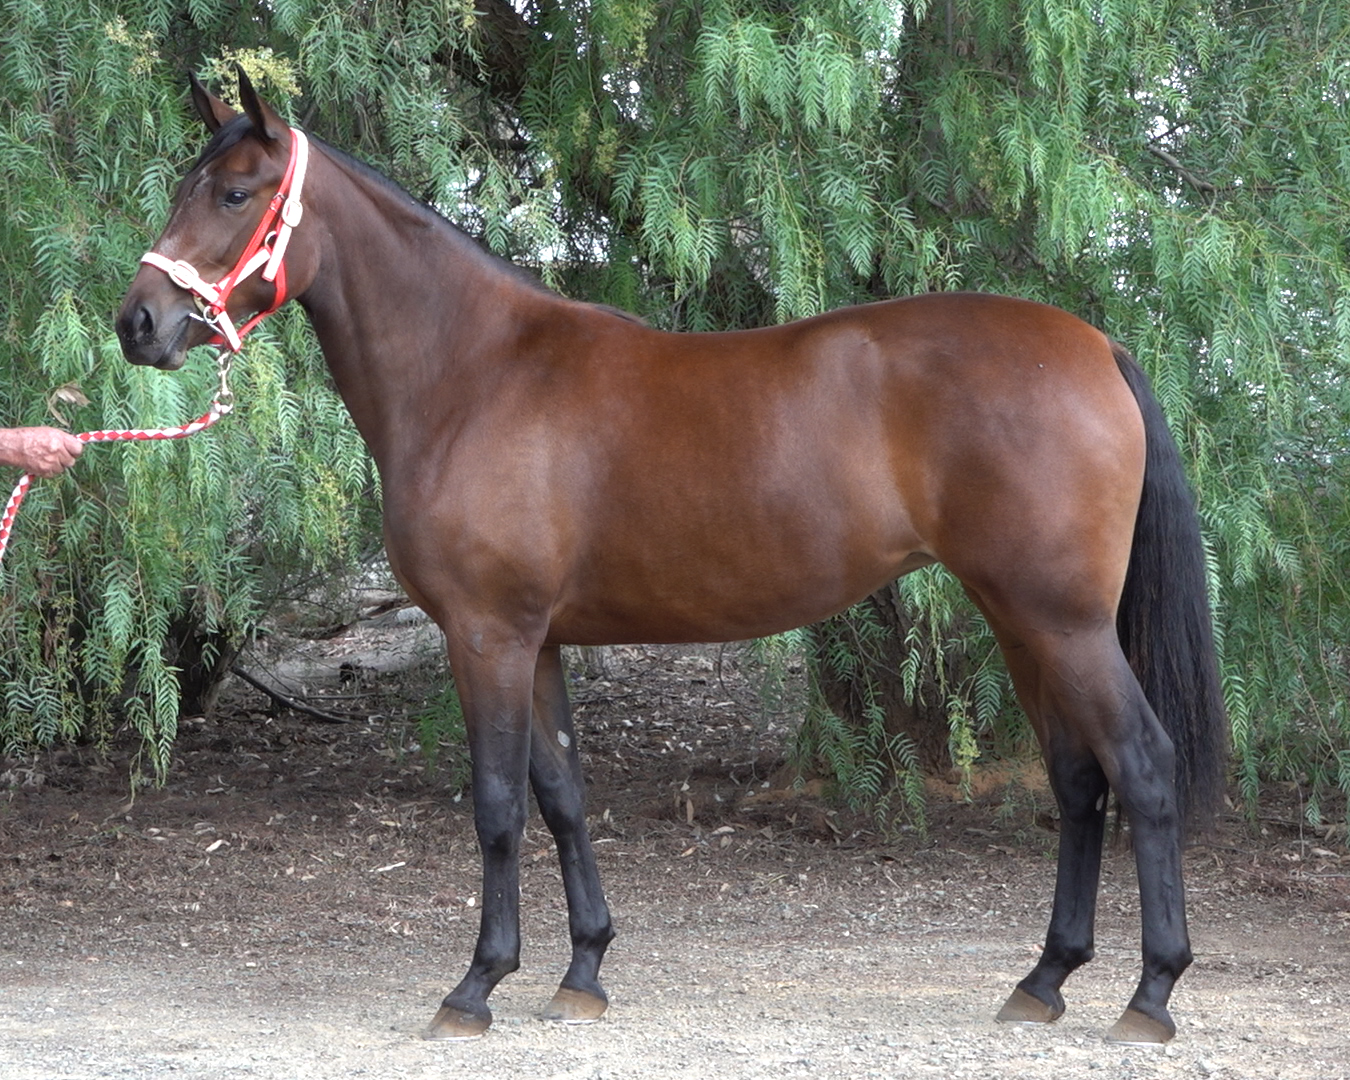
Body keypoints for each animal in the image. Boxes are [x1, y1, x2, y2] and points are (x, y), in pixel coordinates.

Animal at [117, 71, 1227, 1046]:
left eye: (234, 192)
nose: (138, 323)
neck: (475, 372)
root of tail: (1097, 347)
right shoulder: (540, 641)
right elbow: (561, 795)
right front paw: (582, 972)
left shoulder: (487, 635)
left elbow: (496, 806)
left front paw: (476, 986)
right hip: (1020, 621)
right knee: (1078, 781)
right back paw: (1044, 982)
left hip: (1063, 623)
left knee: (1143, 764)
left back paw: (1151, 995)